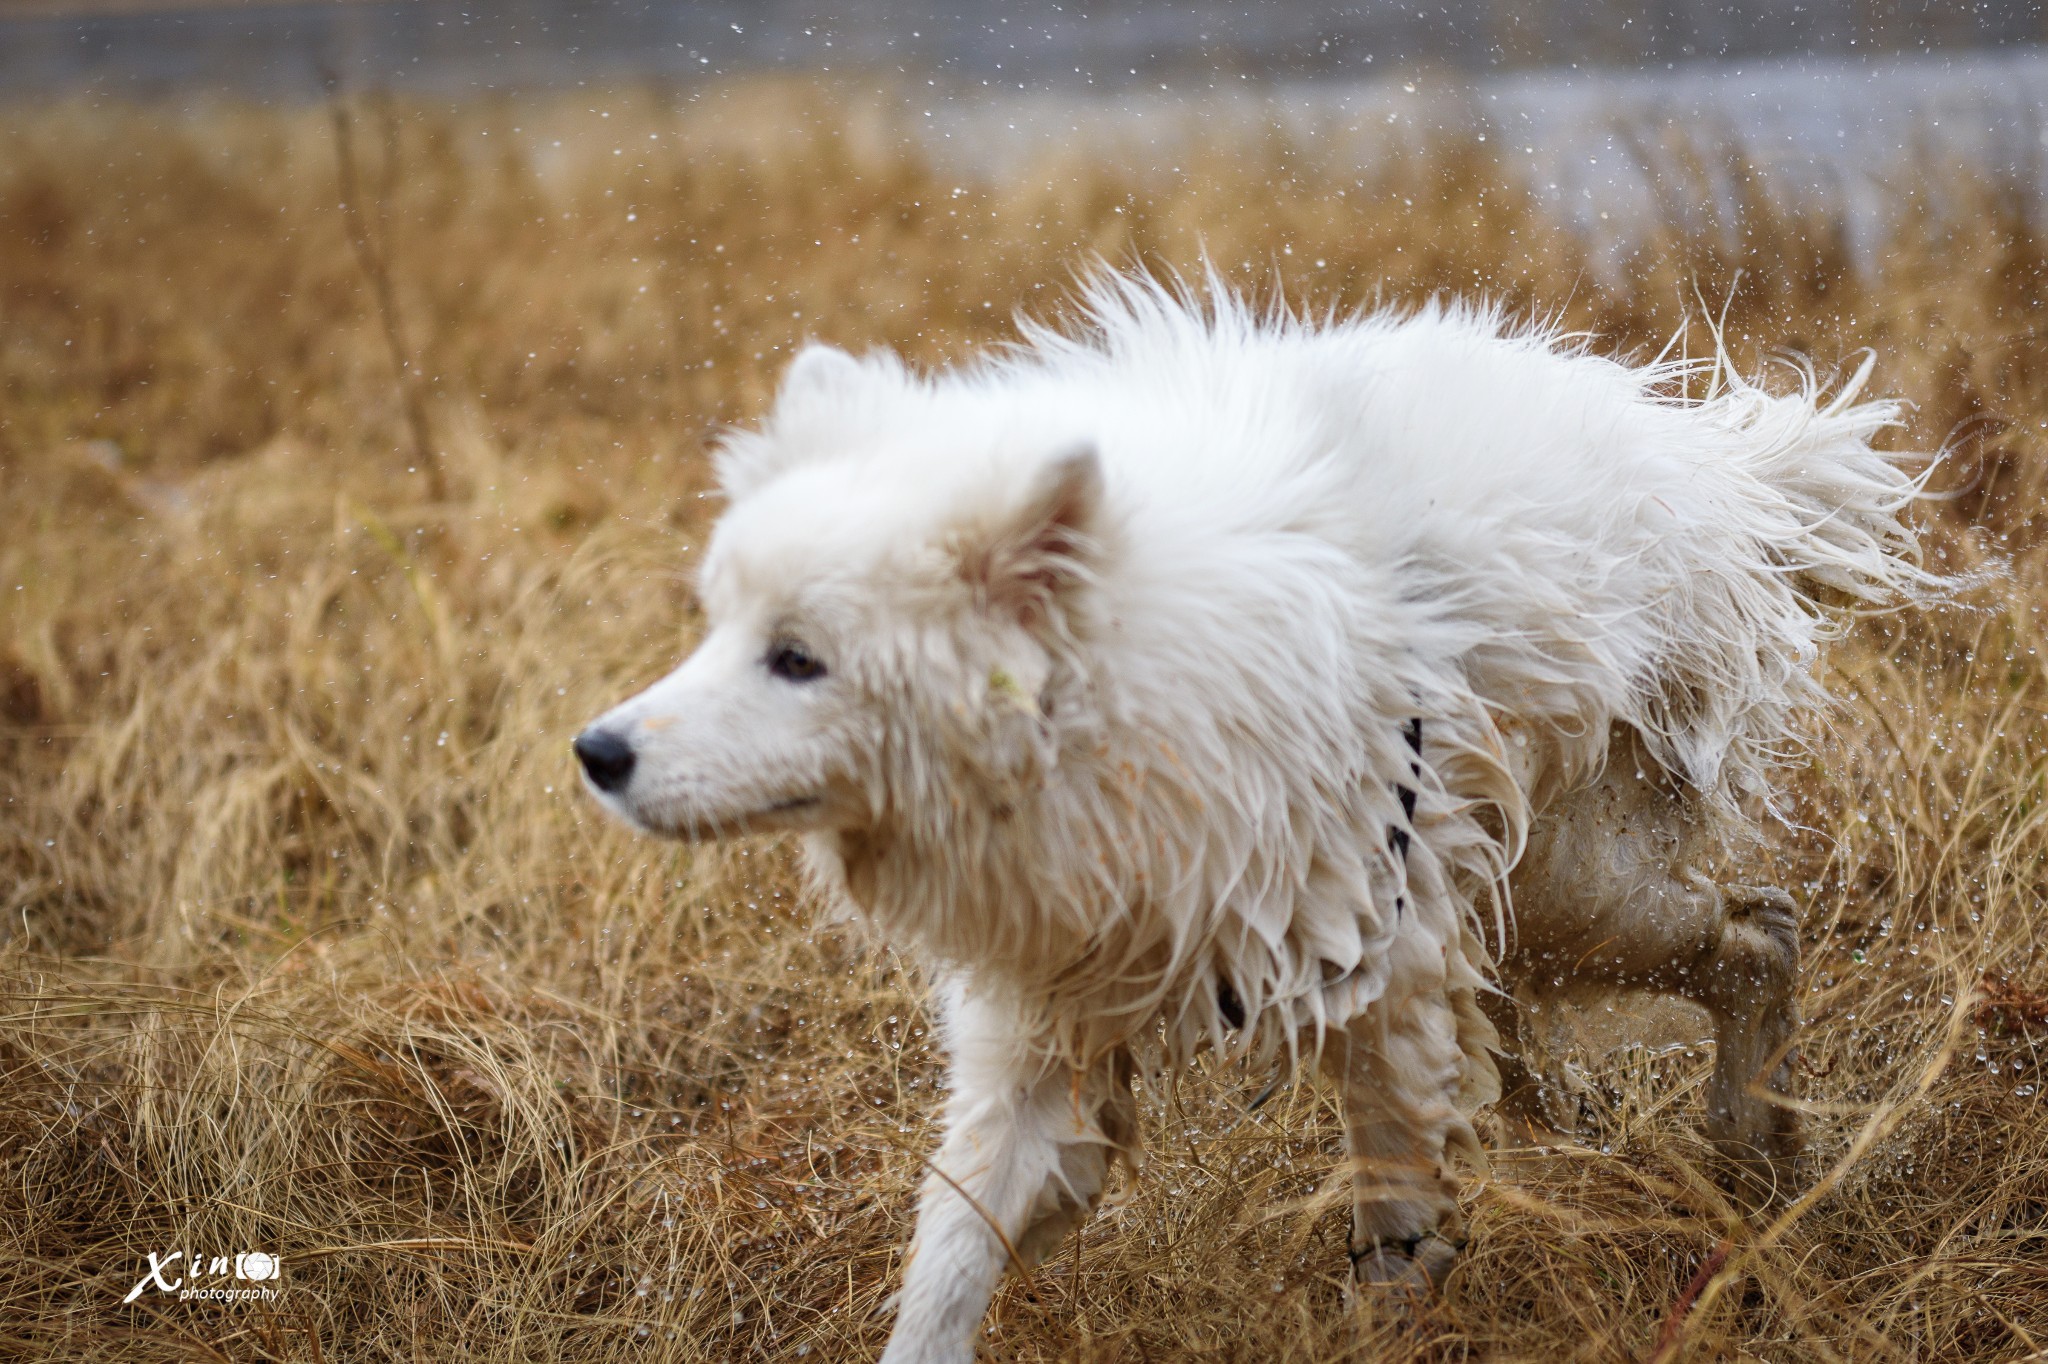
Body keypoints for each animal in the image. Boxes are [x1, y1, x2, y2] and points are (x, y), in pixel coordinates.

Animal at [573, 274, 1933, 1359]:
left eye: (797, 658)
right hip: (1528, 913)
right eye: (714, 623)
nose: (596, 751)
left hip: (1573, 894)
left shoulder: (1374, 980)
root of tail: (1694, 468)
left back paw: (1750, 1147)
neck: (1115, 703)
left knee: (1759, 929)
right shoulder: (1044, 1018)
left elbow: (1395, 1229)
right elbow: (948, 1259)